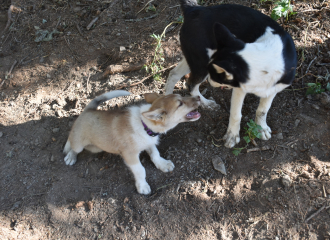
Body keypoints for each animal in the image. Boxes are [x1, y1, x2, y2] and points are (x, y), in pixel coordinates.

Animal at [62, 91, 200, 194]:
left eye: (181, 96)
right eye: (180, 103)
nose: (199, 97)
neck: (144, 125)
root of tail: (88, 110)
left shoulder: (149, 143)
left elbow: (155, 155)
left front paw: (163, 164)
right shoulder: (130, 156)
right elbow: (141, 170)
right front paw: (142, 186)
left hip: (97, 147)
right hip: (79, 143)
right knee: (72, 143)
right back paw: (70, 155)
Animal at [165, 0, 296, 148]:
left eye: (215, 76)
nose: (210, 81)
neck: (267, 58)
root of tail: (194, 9)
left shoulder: (272, 89)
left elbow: (263, 110)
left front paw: (261, 128)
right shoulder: (239, 89)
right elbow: (236, 114)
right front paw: (232, 136)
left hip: (193, 59)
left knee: (174, 74)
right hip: (200, 62)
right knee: (191, 84)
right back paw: (205, 103)